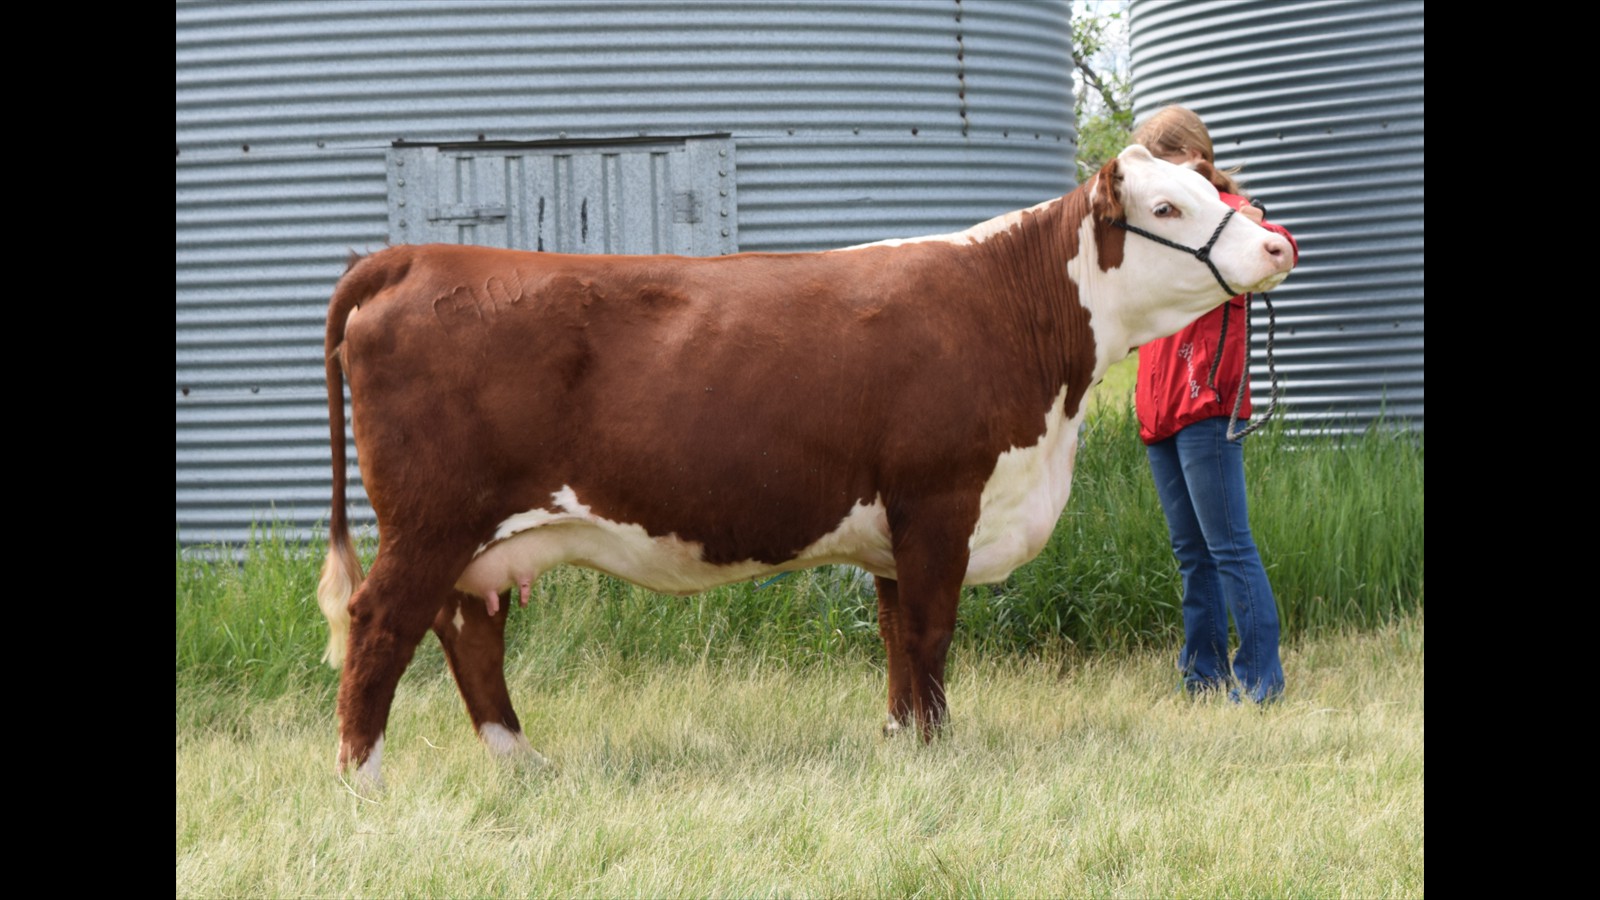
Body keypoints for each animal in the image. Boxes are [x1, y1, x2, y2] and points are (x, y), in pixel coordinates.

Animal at [317, 144, 1295, 784]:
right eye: (1167, 209)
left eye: (1212, 188)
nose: (1277, 244)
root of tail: (414, 256)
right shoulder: (939, 499)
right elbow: (931, 633)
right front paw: (937, 755)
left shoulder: (896, 527)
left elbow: (898, 638)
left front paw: (901, 742)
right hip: (432, 518)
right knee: (380, 624)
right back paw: (362, 783)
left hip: (472, 536)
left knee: (466, 631)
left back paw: (524, 764)